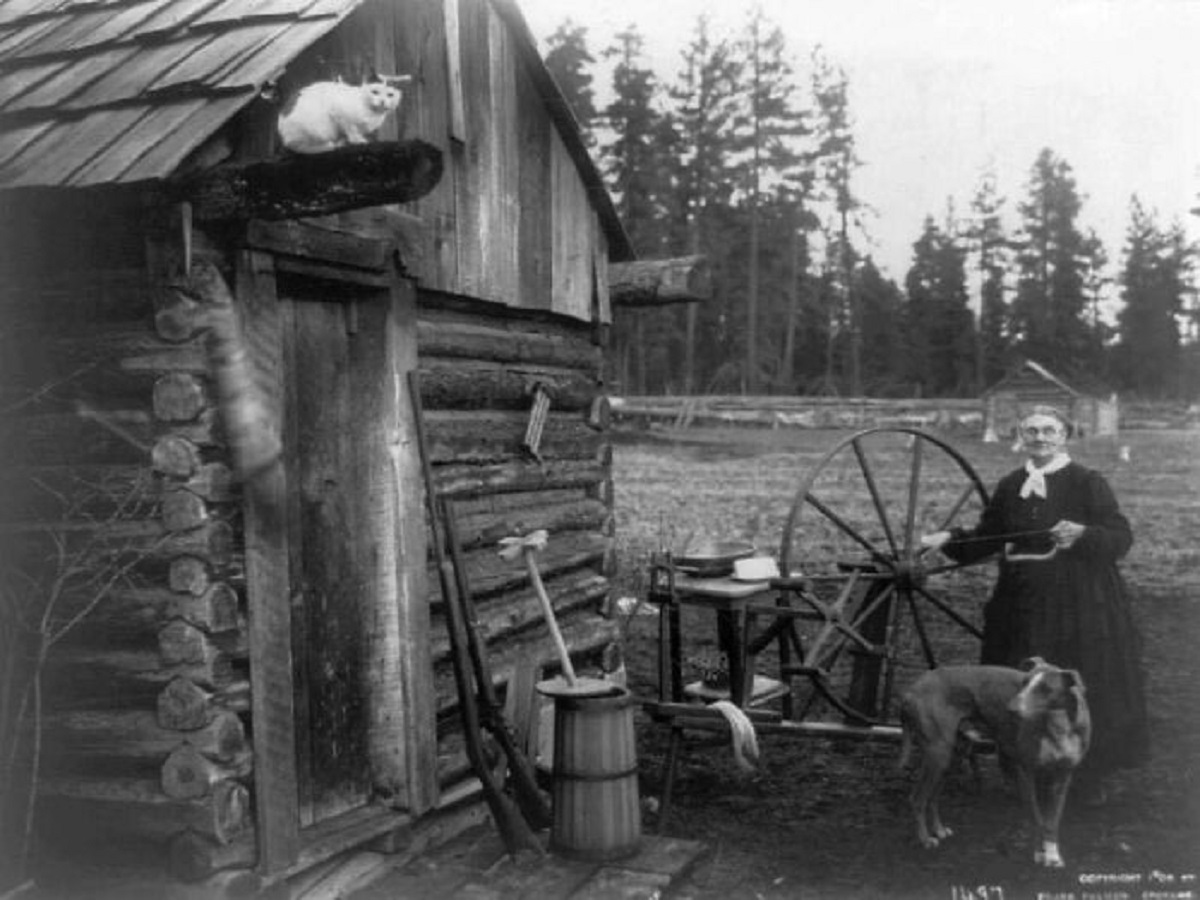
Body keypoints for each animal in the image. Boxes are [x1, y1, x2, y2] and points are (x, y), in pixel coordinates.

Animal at [278, 75, 410, 154]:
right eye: (375, 92)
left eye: (390, 95)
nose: (382, 101)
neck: (372, 114)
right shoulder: (339, 113)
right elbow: (351, 129)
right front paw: (358, 141)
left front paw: (348, 140)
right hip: (316, 128)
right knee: (300, 146)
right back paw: (330, 145)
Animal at [902, 657, 1089, 868]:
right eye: (1024, 682)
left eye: (1046, 689)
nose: (1011, 709)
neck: (1057, 725)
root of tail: (911, 690)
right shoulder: (1025, 773)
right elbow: (1037, 818)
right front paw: (1039, 854)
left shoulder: (1062, 777)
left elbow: (1052, 821)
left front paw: (1053, 855)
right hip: (937, 755)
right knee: (917, 798)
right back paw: (925, 839)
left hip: (952, 756)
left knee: (933, 796)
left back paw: (939, 830)